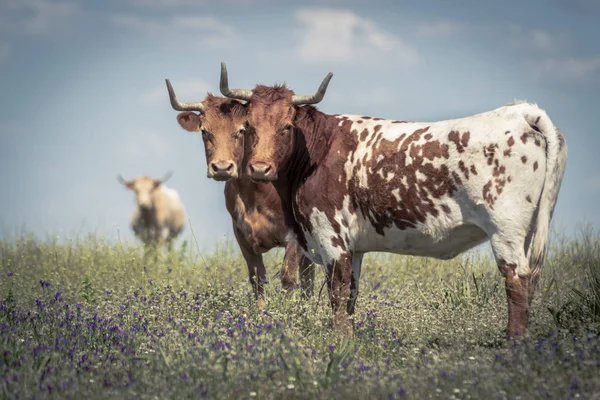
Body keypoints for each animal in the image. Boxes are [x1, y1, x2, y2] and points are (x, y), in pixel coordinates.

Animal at [162, 79, 316, 302]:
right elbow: (257, 279)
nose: (222, 168)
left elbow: (288, 278)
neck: (255, 194)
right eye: (205, 132)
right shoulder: (243, 237)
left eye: (241, 130)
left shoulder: (294, 238)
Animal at [219, 62, 568, 338]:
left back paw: (513, 342)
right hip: (527, 230)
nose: (259, 168)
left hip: (505, 228)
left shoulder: (331, 237)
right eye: (248, 126)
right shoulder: (353, 247)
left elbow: (337, 293)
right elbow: (350, 295)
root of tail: (520, 111)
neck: (317, 151)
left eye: (287, 126)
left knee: (516, 281)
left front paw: (339, 343)